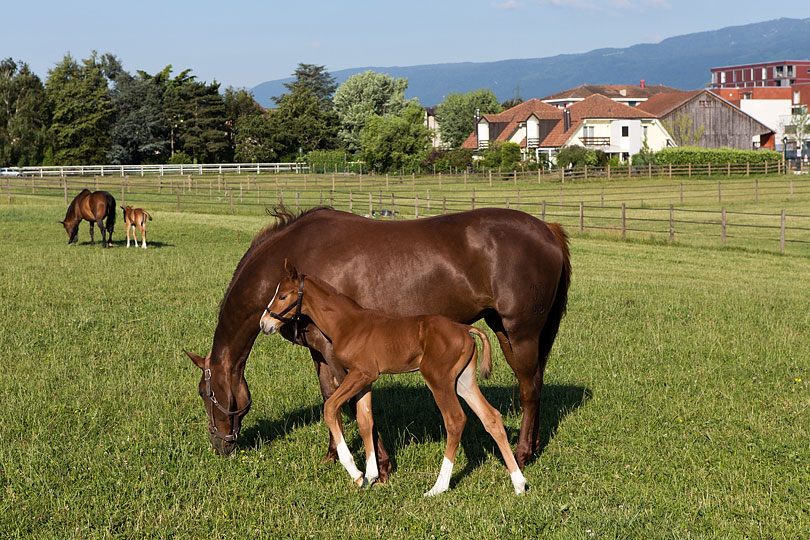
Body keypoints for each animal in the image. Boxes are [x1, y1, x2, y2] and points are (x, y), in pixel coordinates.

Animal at [258, 260, 524, 496]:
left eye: (283, 296)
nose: (264, 323)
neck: (348, 324)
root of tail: (465, 329)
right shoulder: (365, 380)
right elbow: (365, 421)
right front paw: (372, 475)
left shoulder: (361, 373)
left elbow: (330, 407)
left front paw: (356, 473)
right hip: (463, 381)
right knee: (491, 417)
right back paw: (519, 483)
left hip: (438, 379)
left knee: (455, 421)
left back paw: (438, 487)